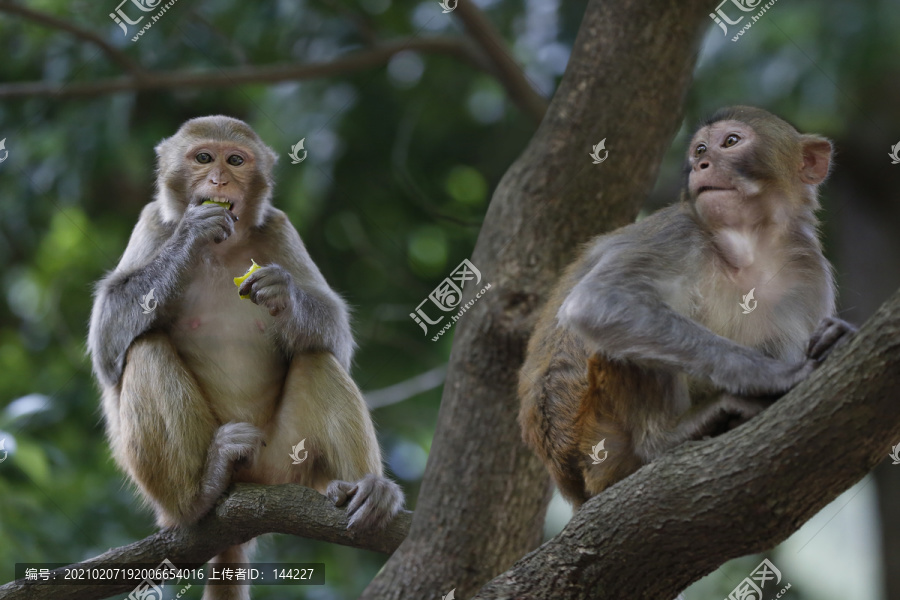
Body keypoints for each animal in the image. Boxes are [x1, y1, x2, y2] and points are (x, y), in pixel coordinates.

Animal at [89, 116, 404, 600]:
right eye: (203, 157)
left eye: (235, 160)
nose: (220, 180)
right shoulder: (152, 222)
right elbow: (107, 342)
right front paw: (190, 236)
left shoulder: (278, 227)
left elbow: (335, 333)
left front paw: (283, 293)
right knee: (144, 347)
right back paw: (200, 494)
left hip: (282, 466)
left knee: (317, 358)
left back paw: (366, 492)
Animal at [516, 106, 856, 506]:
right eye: (700, 150)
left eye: (731, 142)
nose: (701, 165)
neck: (746, 247)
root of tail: (567, 478)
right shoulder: (677, 232)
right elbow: (599, 300)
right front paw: (772, 376)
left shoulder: (808, 267)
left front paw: (830, 335)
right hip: (593, 435)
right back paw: (664, 437)